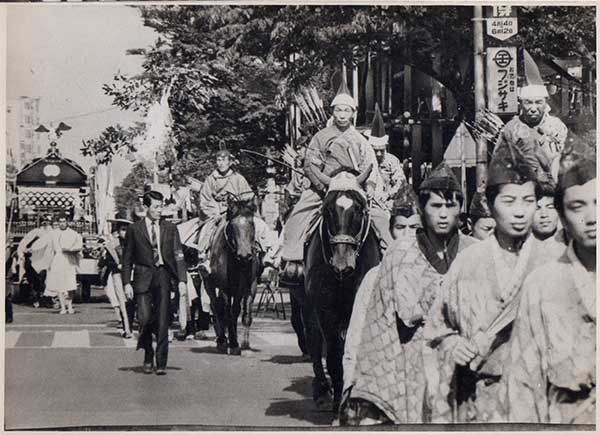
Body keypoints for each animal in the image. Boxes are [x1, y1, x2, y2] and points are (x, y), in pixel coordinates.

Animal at [203, 196, 262, 356]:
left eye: (251, 223)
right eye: (232, 227)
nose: (244, 255)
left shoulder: (248, 287)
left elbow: (242, 314)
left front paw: (243, 344)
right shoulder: (225, 288)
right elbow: (227, 313)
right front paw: (233, 343)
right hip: (209, 284)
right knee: (217, 308)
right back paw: (222, 340)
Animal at [282, 164, 380, 412]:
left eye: (359, 210)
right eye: (327, 211)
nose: (342, 263)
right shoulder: (326, 310)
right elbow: (334, 354)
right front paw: (338, 400)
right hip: (306, 304)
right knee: (315, 342)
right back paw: (322, 391)